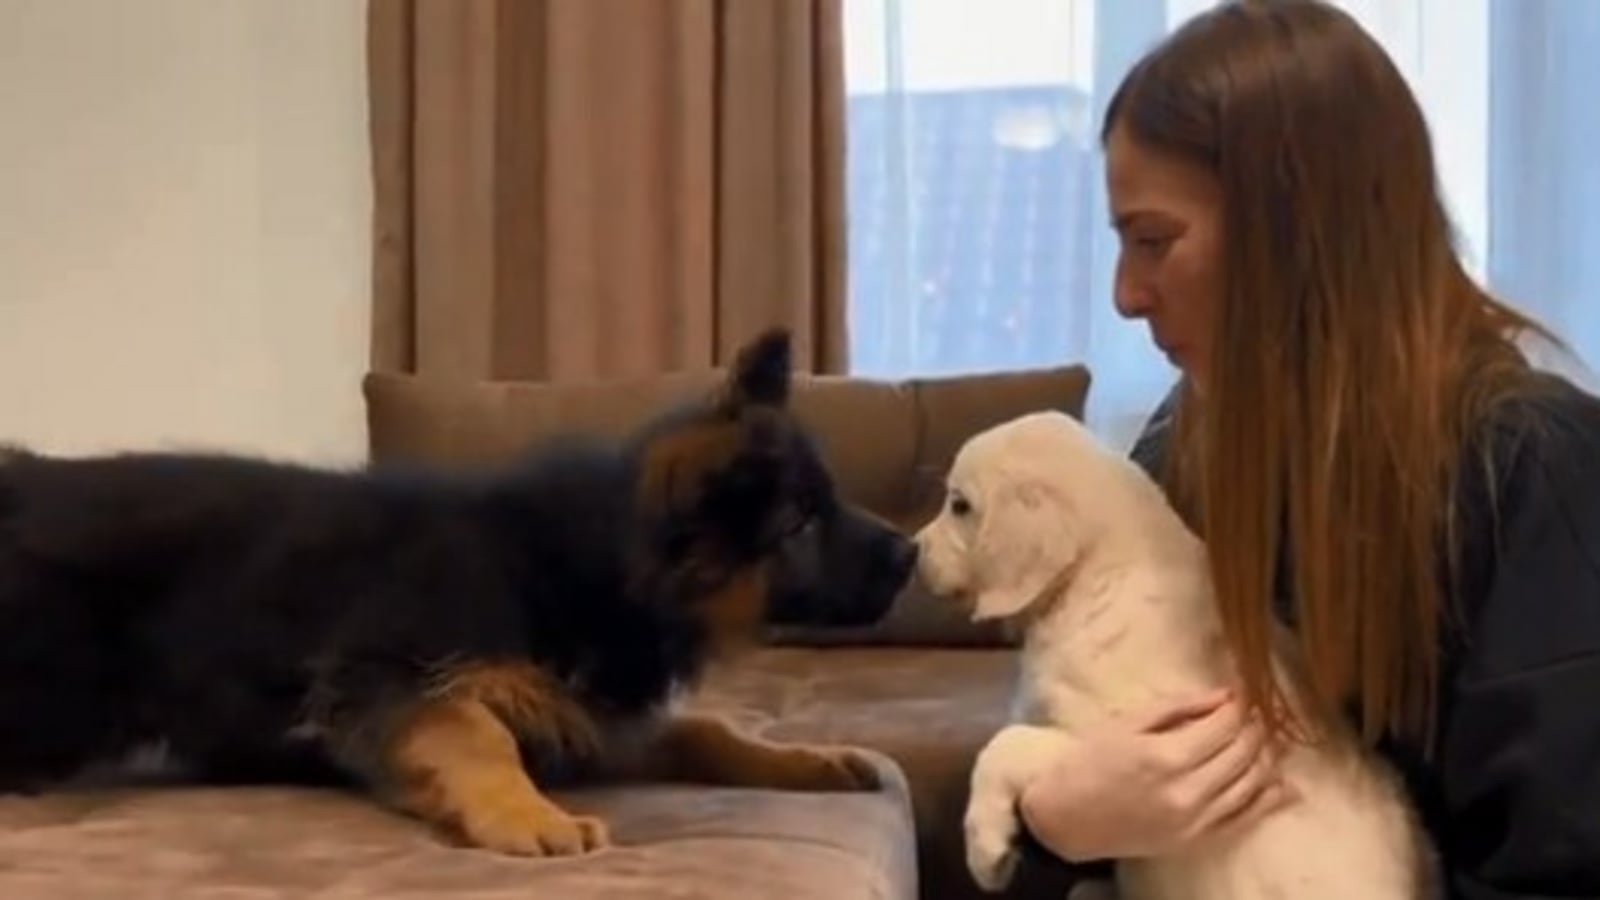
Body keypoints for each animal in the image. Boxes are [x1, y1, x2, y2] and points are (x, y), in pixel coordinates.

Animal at [0, 329, 915, 851]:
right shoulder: (388, 676)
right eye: (799, 524)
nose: (910, 553)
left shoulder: (592, 716)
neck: (592, 564)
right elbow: (474, 731)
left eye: (825, 503)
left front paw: (808, 758)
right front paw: (529, 815)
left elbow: (708, 730)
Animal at [921, 413, 1433, 896]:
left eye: (959, 505)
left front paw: (985, 849)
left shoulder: (1123, 734)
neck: (1093, 578)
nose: (913, 550)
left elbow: (1005, 745)